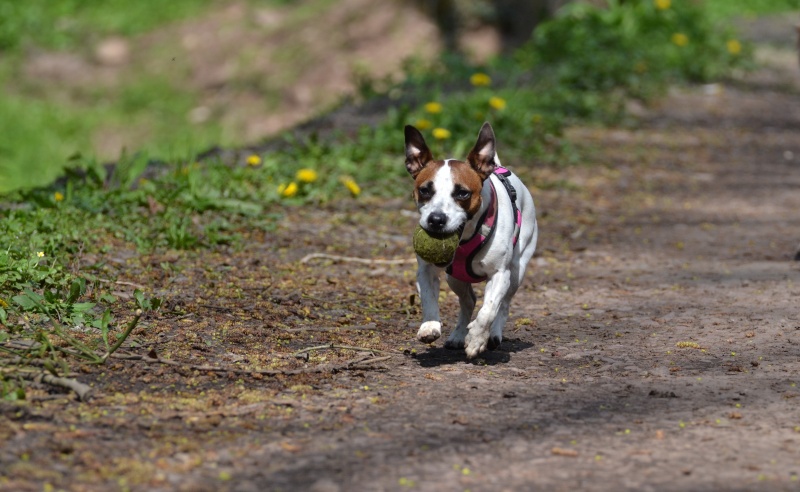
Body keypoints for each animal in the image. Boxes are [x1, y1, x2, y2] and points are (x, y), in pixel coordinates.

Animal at [406, 121, 536, 360]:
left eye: (462, 194)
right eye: (425, 190)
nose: (436, 219)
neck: (465, 236)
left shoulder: (500, 275)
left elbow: (489, 309)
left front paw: (476, 338)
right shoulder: (426, 271)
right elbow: (428, 297)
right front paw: (429, 325)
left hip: (517, 270)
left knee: (504, 304)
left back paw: (493, 334)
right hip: (455, 278)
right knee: (468, 301)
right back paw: (458, 335)